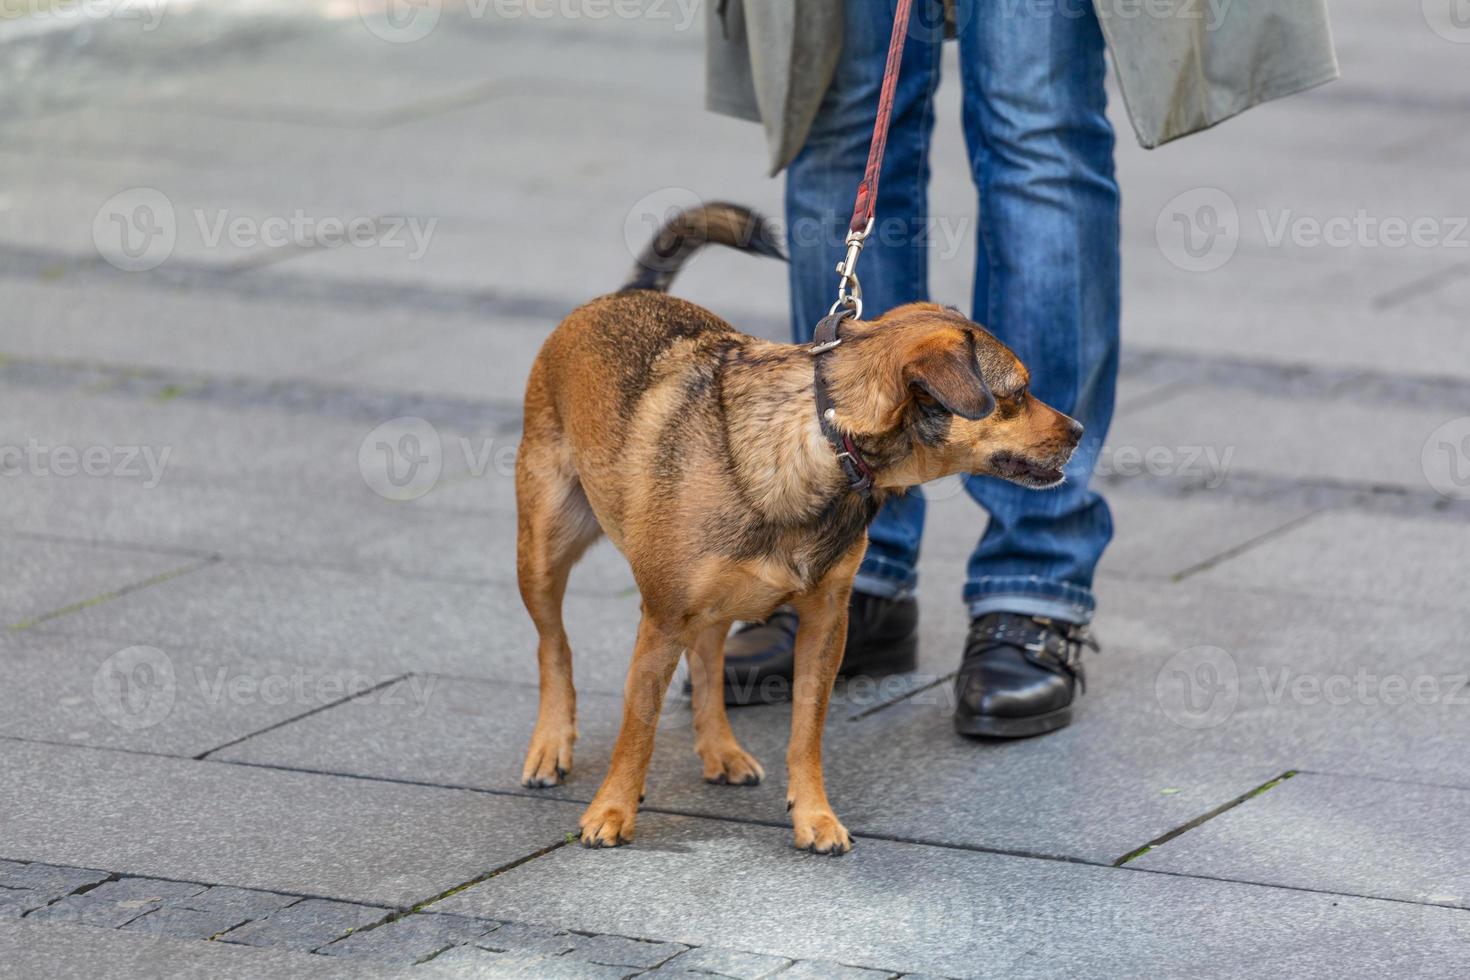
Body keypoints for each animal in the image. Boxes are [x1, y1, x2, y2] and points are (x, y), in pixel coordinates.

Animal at [517, 205, 1081, 852]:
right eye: (1017, 394)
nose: (1080, 430)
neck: (827, 439)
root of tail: (627, 293)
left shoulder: (825, 624)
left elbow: (806, 732)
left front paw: (814, 815)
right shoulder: (660, 621)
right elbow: (637, 728)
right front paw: (611, 809)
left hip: (715, 602)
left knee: (708, 658)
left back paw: (721, 750)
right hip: (543, 550)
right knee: (554, 647)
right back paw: (551, 746)